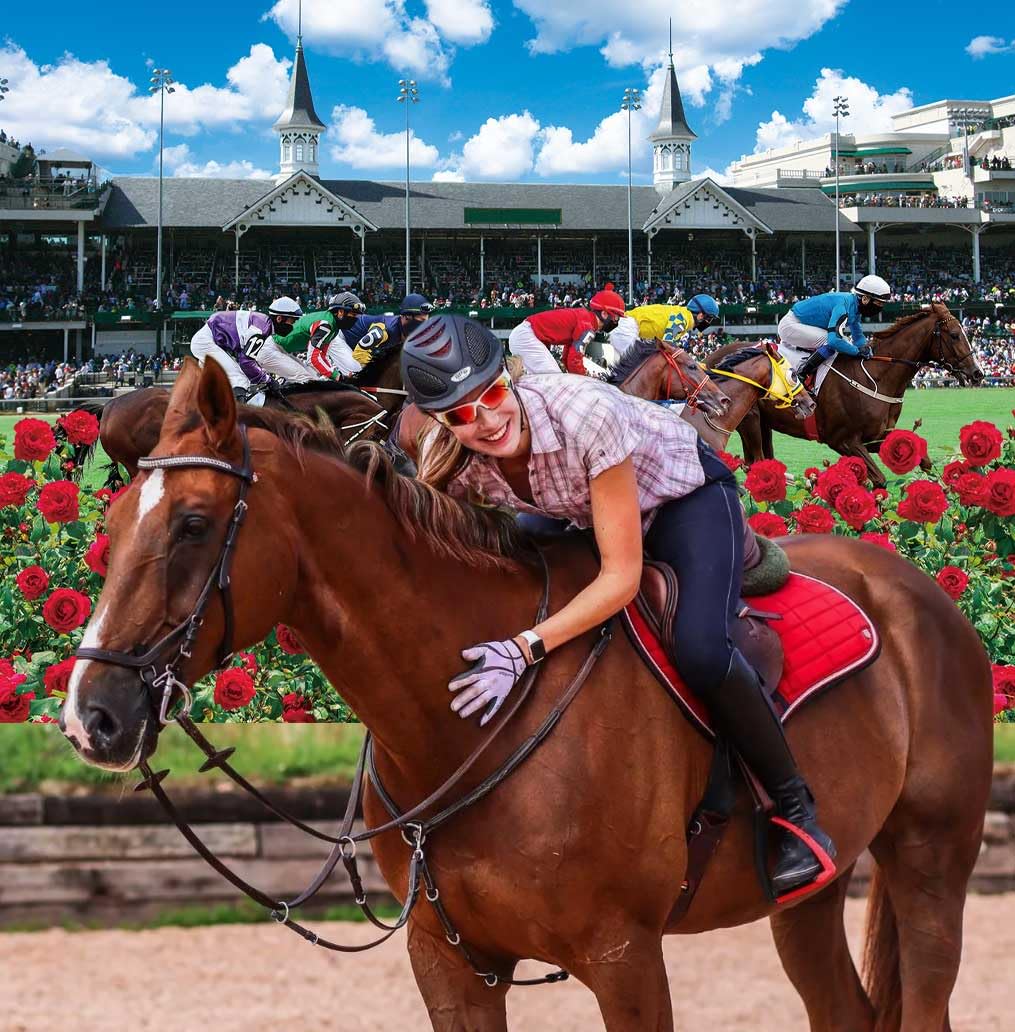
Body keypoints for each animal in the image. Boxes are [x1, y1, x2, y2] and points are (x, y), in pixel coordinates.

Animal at [61, 356, 993, 1031]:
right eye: (111, 528)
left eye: (192, 525)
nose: (89, 714)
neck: (458, 732)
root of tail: (915, 587)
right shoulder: (450, 964)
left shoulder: (624, 958)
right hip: (805, 902)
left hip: (929, 863)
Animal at [716, 302, 984, 488]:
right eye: (954, 335)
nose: (977, 373)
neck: (876, 376)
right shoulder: (843, 440)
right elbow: (878, 479)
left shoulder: (876, 437)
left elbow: (922, 457)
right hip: (747, 420)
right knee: (755, 464)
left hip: (763, 423)